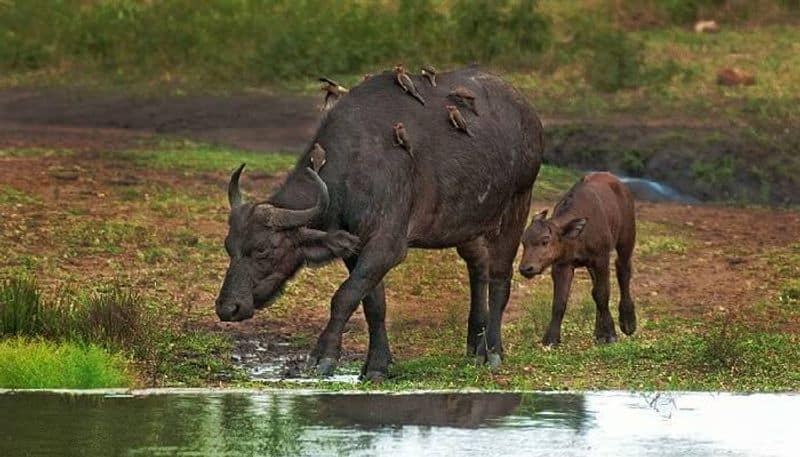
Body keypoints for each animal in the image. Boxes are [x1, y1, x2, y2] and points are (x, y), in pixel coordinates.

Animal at [216, 66, 548, 380]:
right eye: (229, 248)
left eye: (263, 250)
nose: (228, 308)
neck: (355, 166)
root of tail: (527, 112)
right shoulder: (355, 248)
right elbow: (372, 304)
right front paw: (377, 365)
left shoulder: (386, 246)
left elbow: (344, 296)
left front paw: (323, 356)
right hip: (467, 222)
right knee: (478, 266)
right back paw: (475, 345)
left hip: (518, 203)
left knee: (500, 277)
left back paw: (493, 351)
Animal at [520, 173, 636, 344]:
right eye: (523, 242)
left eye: (545, 241)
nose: (526, 268)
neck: (578, 236)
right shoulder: (562, 265)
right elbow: (560, 301)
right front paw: (551, 338)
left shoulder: (601, 258)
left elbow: (602, 294)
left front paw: (610, 334)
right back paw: (599, 332)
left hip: (626, 240)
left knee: (623, 270)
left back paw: (628, 322)